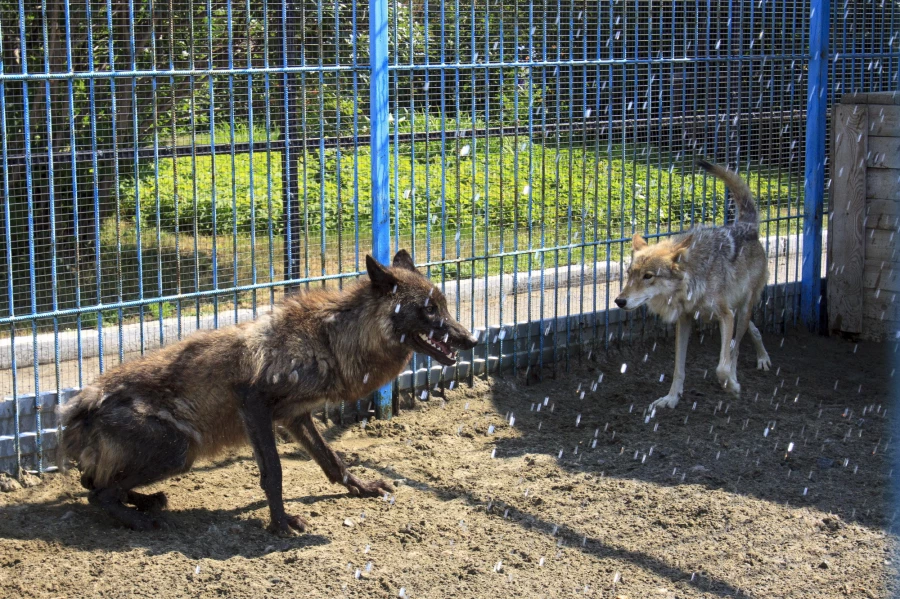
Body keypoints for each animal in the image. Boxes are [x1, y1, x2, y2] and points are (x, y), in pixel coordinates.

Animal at [59, 250, 482, 536]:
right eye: (429, 310)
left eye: (444, 305)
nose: (472, 339)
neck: (329, 339)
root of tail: (76, 410)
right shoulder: (254, 404)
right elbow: (274, 473)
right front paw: (280, 524)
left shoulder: (296, 416)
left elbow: (333, 461)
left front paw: (361, 488)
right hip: (180, 452)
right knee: (97, 493)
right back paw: (141, 519)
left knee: (96, 484)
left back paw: (148, 502)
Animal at [616, 161, 768, 412]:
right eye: (629, 275)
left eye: (648, 276)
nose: (619, 301)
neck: (692, 281)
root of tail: (746, 225)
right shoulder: (685, 319)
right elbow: (678, 367)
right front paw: (671, 398)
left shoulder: (725, 315)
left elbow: (722, 366)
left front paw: (731, 386)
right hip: (737, 309)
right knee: (751, 330)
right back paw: (763, 357)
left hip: (743, 307)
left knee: (736, 347)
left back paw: (741, 374)